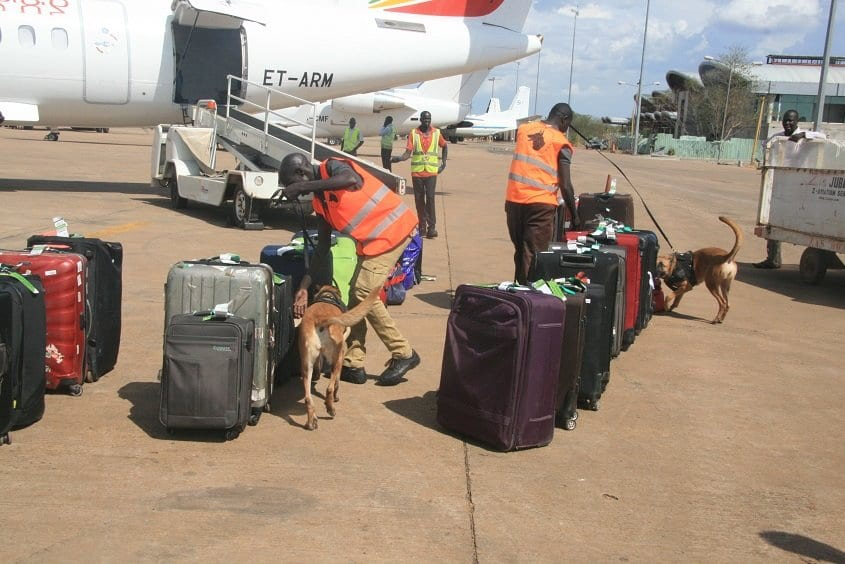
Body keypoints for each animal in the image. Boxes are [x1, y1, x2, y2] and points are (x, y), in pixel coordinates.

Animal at [296, 284, 378, 430]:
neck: (327, 296)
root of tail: (322, 319)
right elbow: (337, 383)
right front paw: (336, 397)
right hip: (337, 358)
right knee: (329, 388)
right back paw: (330, 408)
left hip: (306, 365)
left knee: (308, 397)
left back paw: (311, 421)